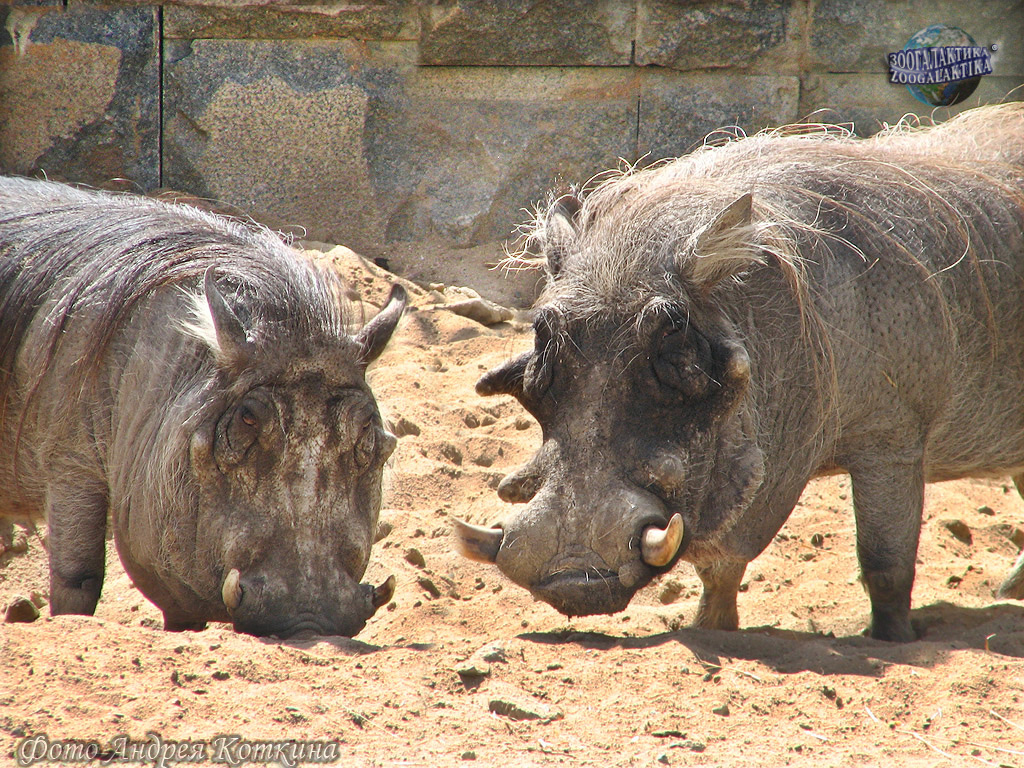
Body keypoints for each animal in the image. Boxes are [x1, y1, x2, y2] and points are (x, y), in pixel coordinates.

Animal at [456, 103, 1024, 642]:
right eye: (542, 330)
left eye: (672, 331)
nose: (571, 574)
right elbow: (720, 569)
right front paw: (711, 629)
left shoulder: (893, 440)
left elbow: (886, 564)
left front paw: (892, 641)